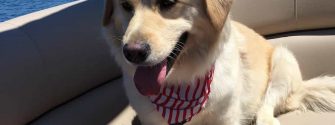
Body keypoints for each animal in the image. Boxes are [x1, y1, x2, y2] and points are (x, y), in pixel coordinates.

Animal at [101, 0, 335, 124]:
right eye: (125, 5)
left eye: (168, 3)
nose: (132, 53)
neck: (182, 82)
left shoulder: (226, 116)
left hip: (283, 61)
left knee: (266, 107)